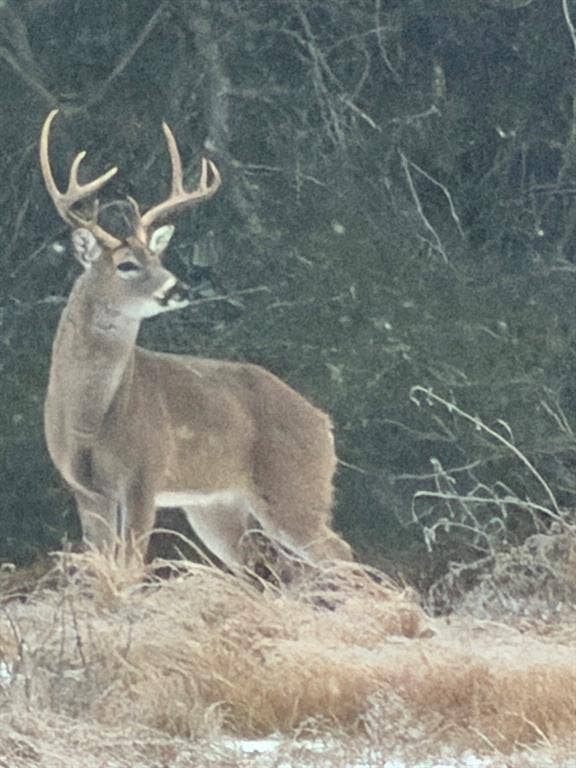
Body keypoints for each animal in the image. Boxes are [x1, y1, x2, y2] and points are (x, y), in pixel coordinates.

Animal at [39, 109, 353, 571]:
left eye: (158, 257)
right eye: (127, 264)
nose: (177, 287)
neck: (89, 419)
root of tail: (323, 423)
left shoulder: (144, 473)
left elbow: (132, 566)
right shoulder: (85, 488)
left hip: (294, 487)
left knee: (340, 553)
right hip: (215, 506)